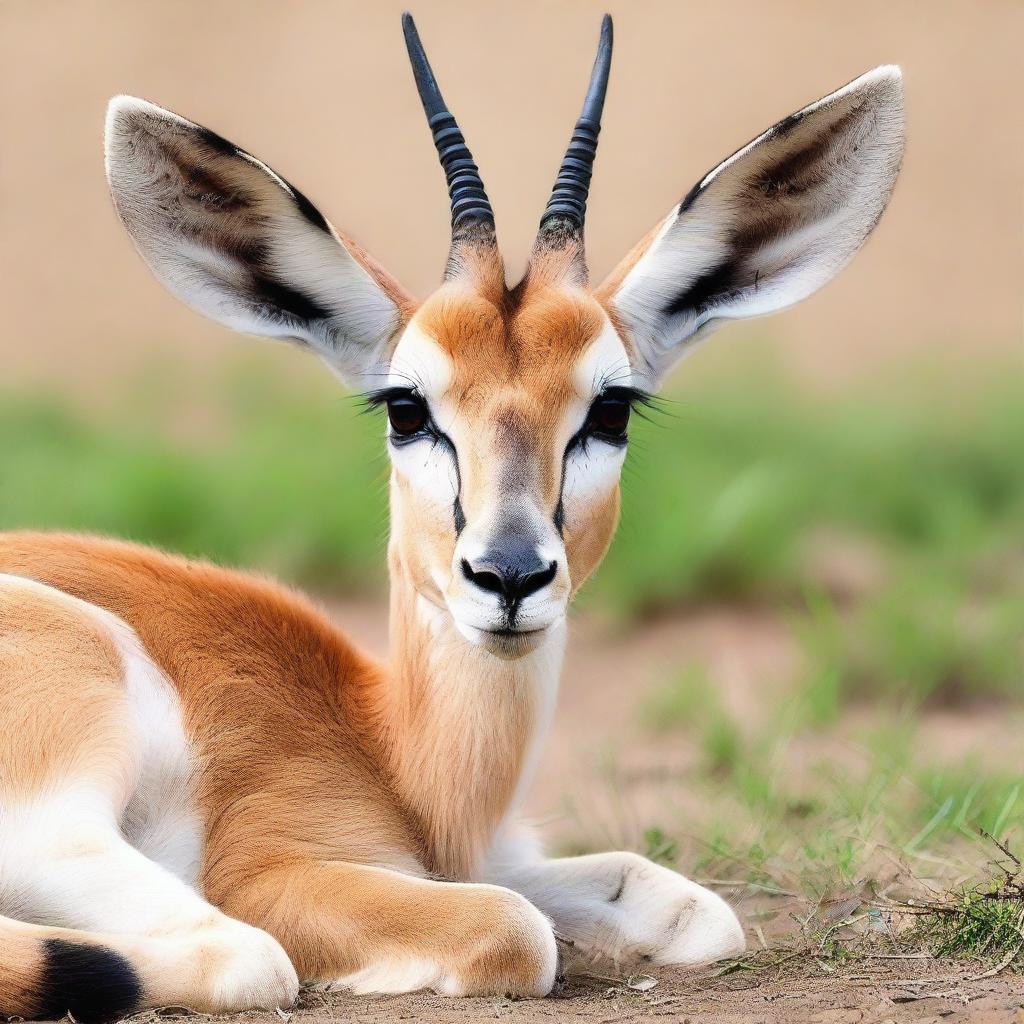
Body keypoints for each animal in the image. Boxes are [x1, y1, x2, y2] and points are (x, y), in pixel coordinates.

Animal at [0, 12, 901, 1019]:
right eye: (406, 406)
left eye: (612, 408)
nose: (509, 576)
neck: (397, 754)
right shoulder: (273, 868)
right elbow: (513, 928)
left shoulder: (496, 856)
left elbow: (688, 907)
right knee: (241, 954)